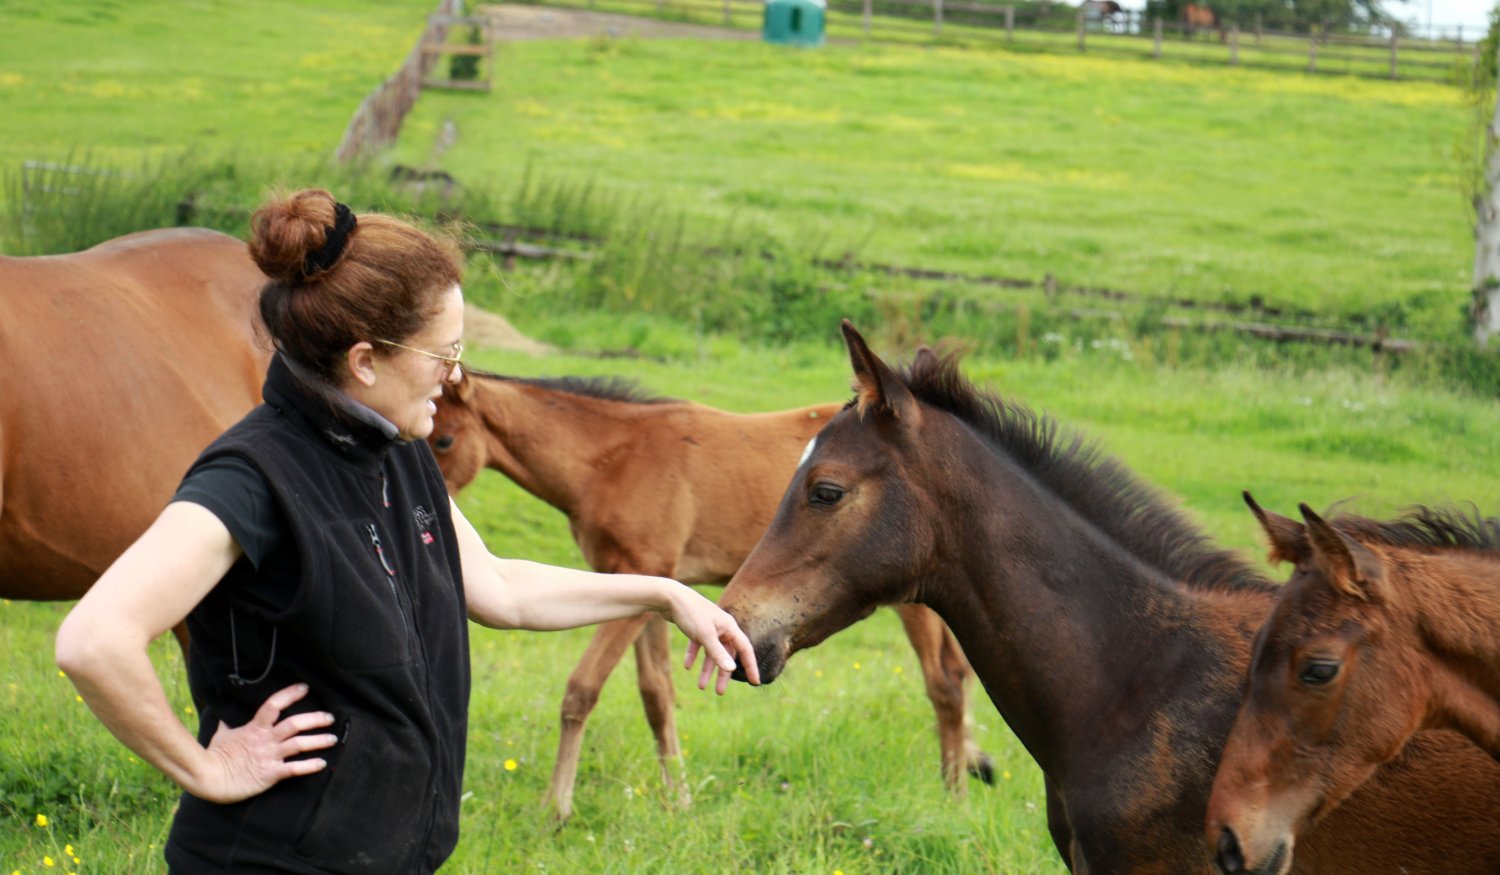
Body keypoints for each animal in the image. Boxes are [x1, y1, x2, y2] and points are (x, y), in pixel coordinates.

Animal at [427, 369, 993, 821]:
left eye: (446, 441)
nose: (443, 517)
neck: (613, 459)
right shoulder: (641, 587)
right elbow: (657, 695)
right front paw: (678, 799)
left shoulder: (643, 569)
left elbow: (582, 689)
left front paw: (556, 808)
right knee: (959, 672)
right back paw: (972, 767)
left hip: (914, 602)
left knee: (944, 681)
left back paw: (954, 796)